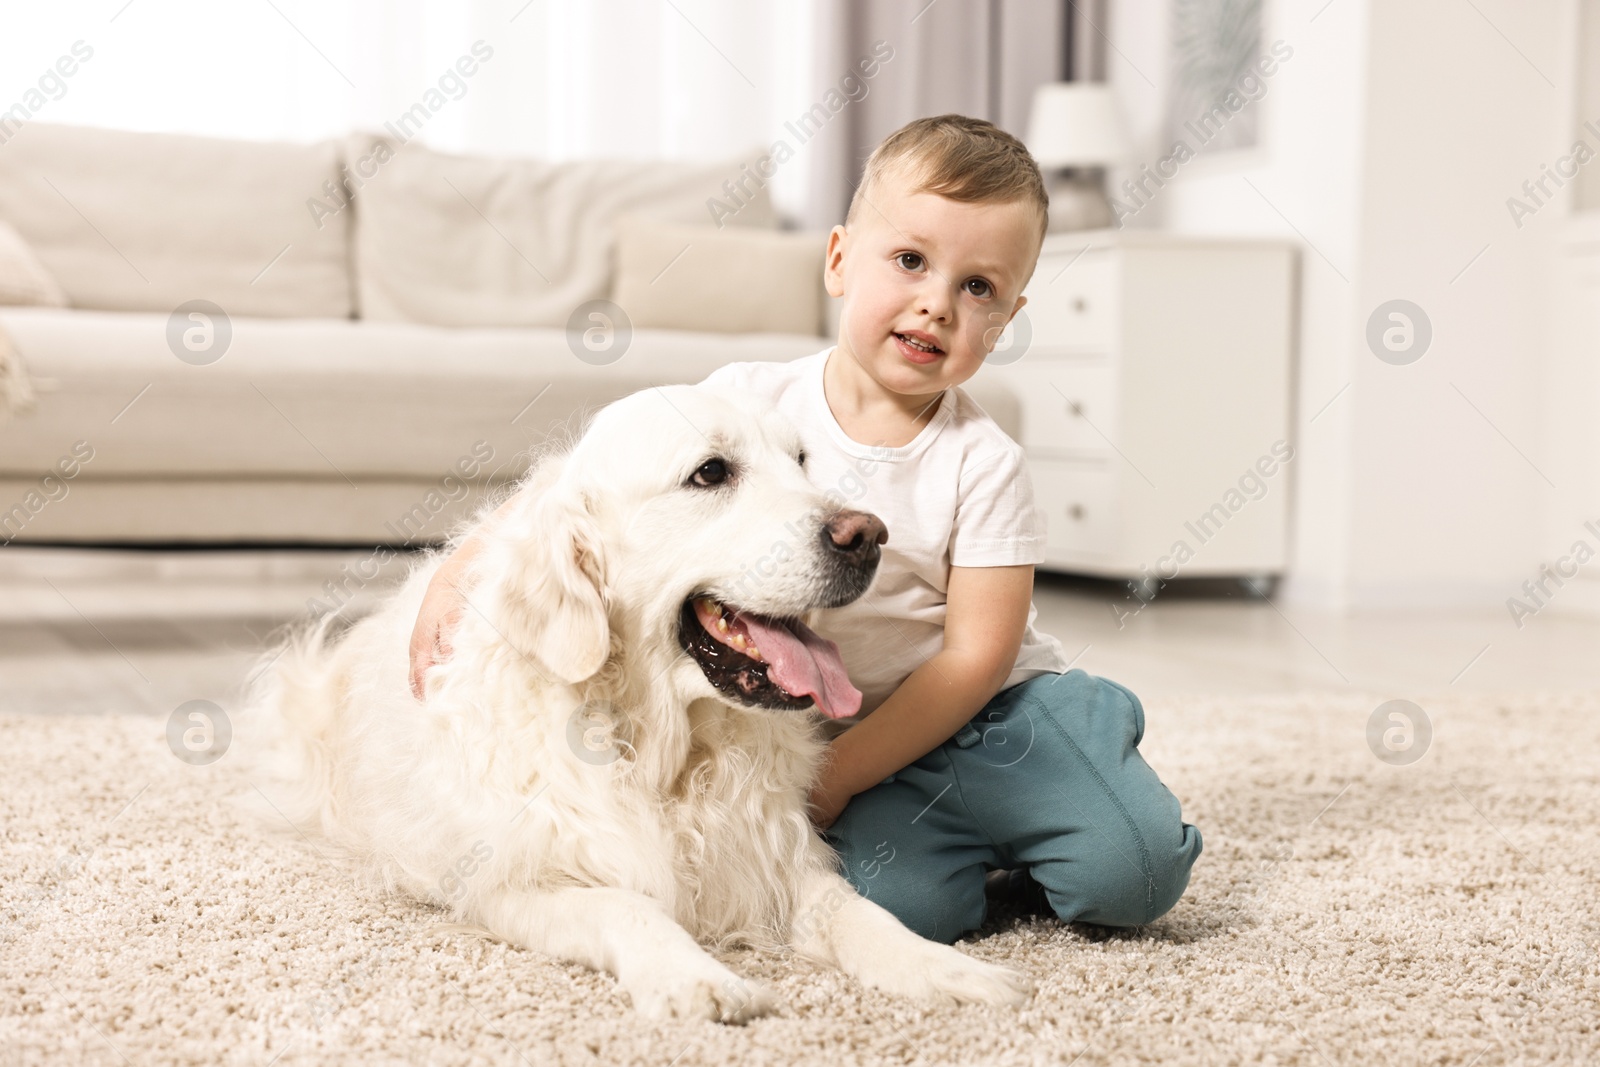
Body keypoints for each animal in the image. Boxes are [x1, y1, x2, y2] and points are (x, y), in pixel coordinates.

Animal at [243, 385, 1030, 1023]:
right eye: (710, 472)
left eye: (802, 459)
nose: (867, 535)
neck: (664, 752)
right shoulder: (513, 881)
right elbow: (626, 905)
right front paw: (697, 977)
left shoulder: (770, 855)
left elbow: (861, 914)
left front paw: (946, 967)